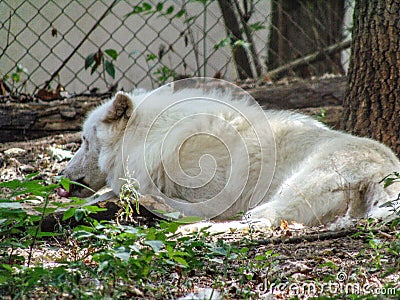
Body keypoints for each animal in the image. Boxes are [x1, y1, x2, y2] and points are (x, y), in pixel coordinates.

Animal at [60, 82, 400, 227]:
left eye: (84, 140)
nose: (61, 177)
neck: (147, 138)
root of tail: (386, 175)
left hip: (291, 189)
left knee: (262, 222)